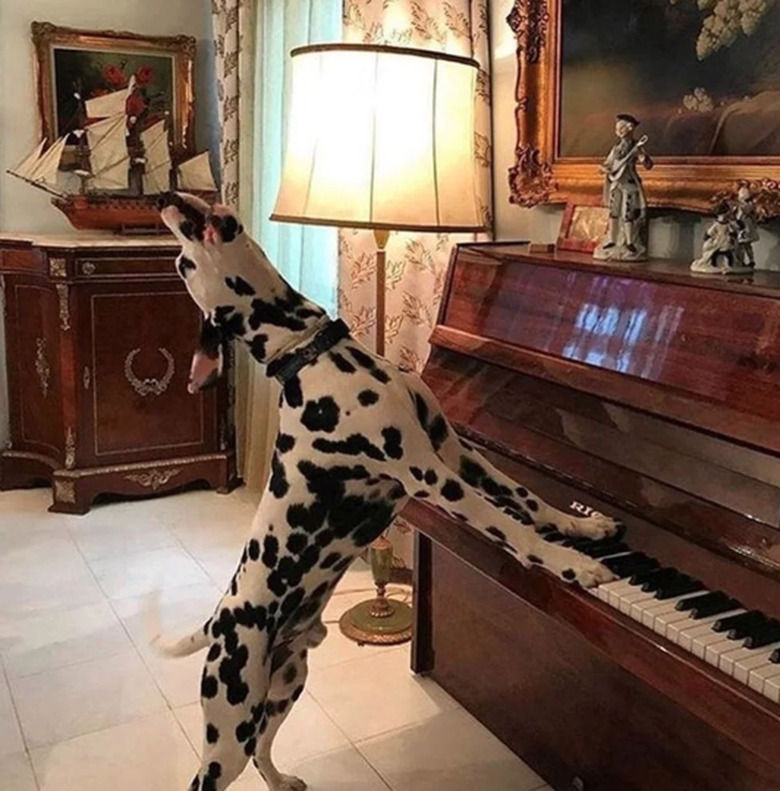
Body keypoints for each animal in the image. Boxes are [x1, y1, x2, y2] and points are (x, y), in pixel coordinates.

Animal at [151, 193, 616, 791]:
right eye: (183, 266)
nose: (164, 200)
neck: (312, 353)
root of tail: (221, 618)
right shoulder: (429, 474)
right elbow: (511, 529)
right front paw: (573, 565)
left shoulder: (453, 449)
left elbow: (527, 499)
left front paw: (584, 525)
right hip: (228, 727)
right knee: (213, 772)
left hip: (286, 685)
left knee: (263, 750)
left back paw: (283, 781)